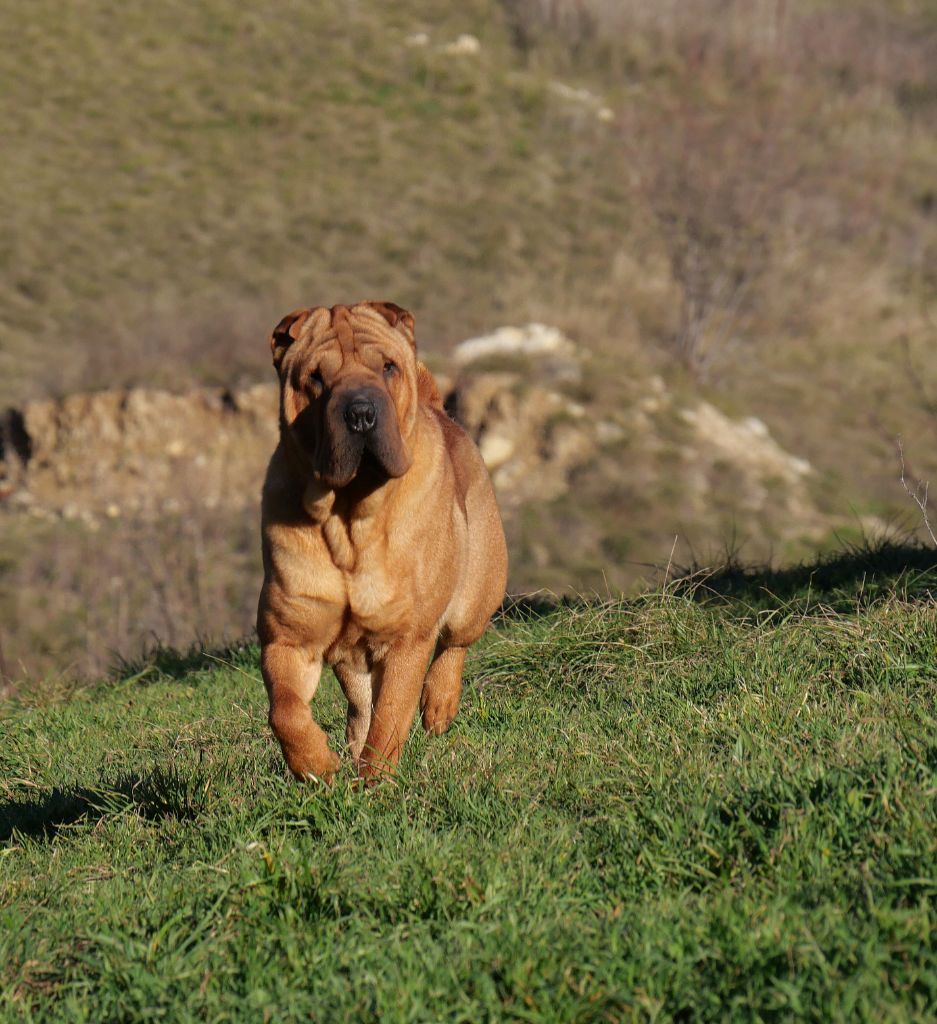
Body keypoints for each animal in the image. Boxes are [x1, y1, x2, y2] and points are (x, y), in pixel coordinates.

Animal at [254, 299, 505, 778]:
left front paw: (376, 781)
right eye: (316, 377)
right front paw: (318, 767)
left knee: (455, 645)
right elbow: (285, 711)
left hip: (476, 594)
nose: (360, 413)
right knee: (359, 706)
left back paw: (439, 707)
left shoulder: (408, 639)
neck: (349, 517)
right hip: (351, 657)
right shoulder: (289, 638)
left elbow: (391, 716)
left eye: (387, 368)